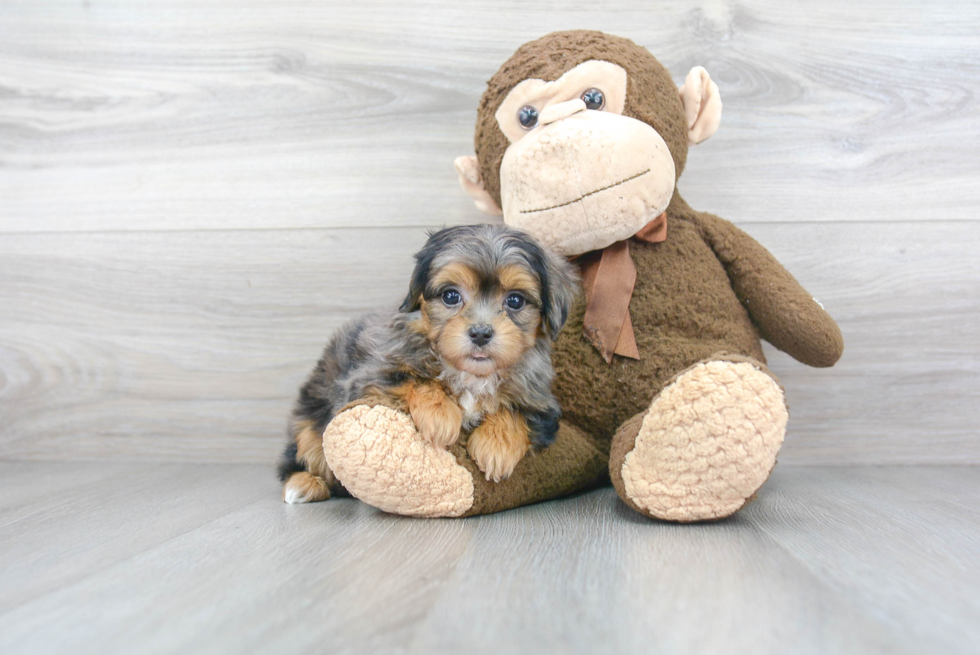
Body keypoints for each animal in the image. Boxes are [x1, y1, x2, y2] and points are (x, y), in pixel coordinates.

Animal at [280, 223, 580, 504]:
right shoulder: (369, 374)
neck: (471, 374)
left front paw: (497, 446)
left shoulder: (541, 402)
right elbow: (415, 379)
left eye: (515, 300)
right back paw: (304, 483)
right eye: (451, 296)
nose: (480, 333)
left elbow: (519, 413)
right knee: (304, 453)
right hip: (310, 423)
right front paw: (440, 415)